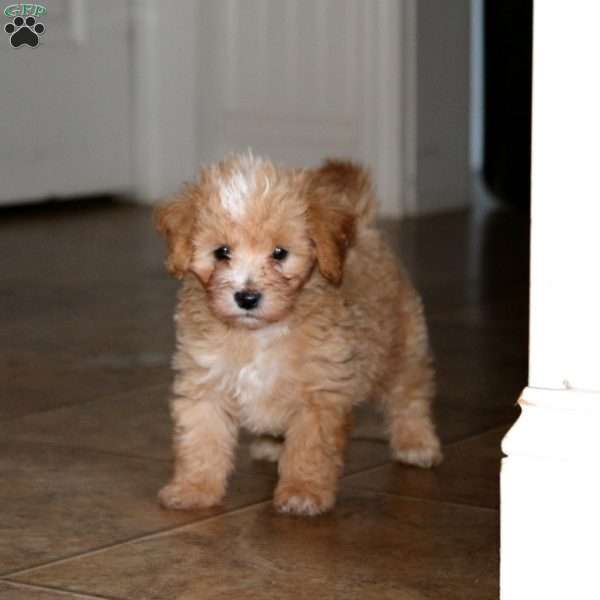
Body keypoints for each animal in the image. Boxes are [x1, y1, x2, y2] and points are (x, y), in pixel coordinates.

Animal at [152, 152, 442, 512]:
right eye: (221, 252)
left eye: (280, 253)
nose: (247, 297)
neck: (257, 335)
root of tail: (362, 224)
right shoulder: (205, 385)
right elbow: (200, 440)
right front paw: (194, 488)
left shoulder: (319, 393)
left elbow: (309, 449)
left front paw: (303, 492)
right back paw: (269, 445)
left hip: (401, 346)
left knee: (410, 396)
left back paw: (417, 444)